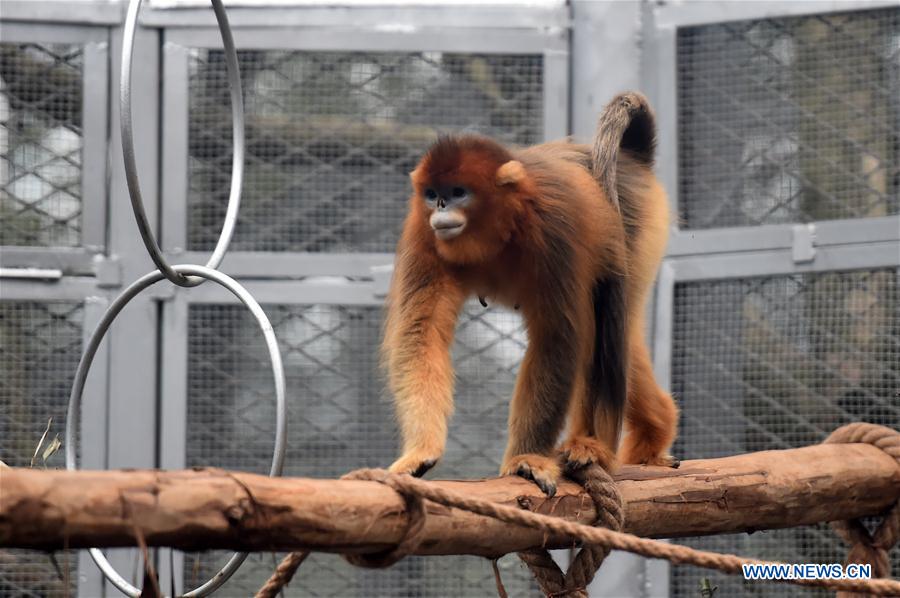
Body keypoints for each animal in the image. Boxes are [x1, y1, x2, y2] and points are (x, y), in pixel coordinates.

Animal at [382, 92, 678, 496]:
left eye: (458, 193)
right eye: (432, 195)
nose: (440, 206)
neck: (499, 230)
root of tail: (634, 161)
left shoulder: (554, 226)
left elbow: (557, 339)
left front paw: (527, 458)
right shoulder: (423, 232)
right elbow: (419, 334)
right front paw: (420, 450)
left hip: (637, 227)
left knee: (606, 327)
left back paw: (593, 447)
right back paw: (654, 434)